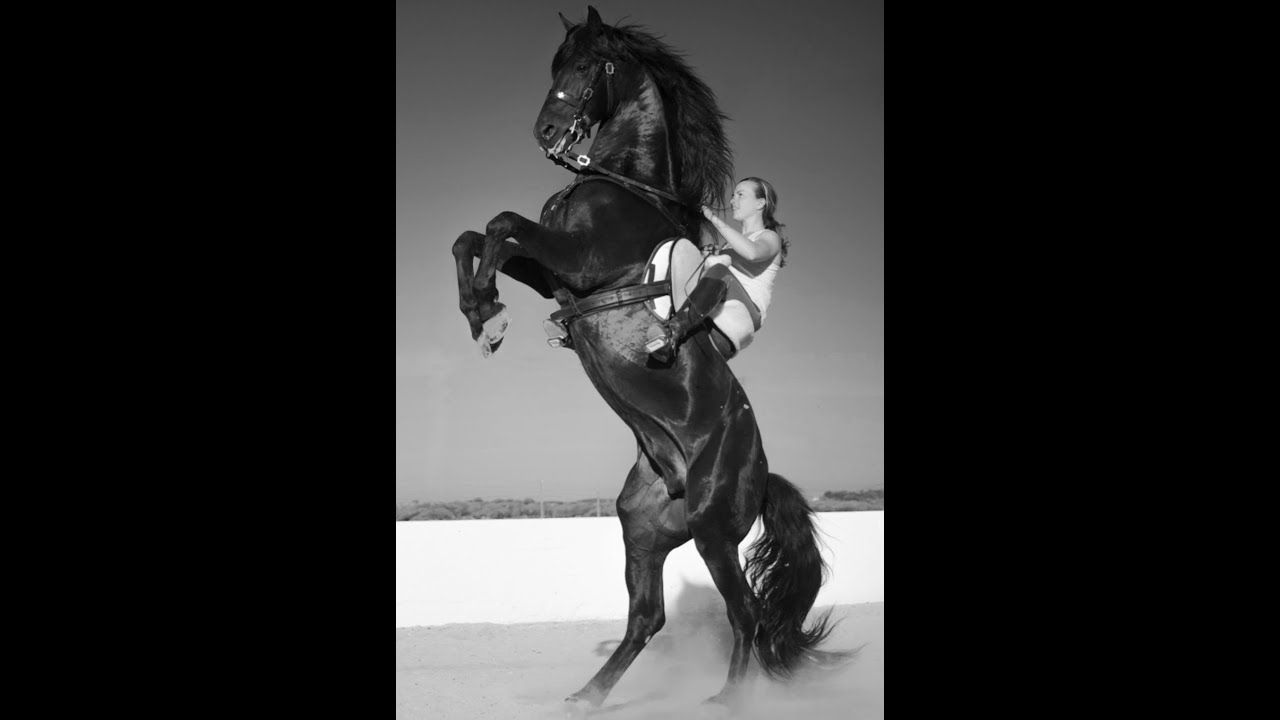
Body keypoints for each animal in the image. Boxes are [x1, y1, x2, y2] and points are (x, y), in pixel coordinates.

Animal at [450, 6, 848, 714]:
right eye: (555, 62)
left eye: (589, 64)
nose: (545, 131)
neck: (619, 183)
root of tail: (758, 473)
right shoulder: (553, 271)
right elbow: (472, 236)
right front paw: (482, 314)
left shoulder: (580, 260)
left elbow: (499, 223)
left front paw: (487, 315)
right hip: (643, 527)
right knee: (647, 617)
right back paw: (586, 695)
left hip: (715, 530)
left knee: (744, 613)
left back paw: (726, 699)